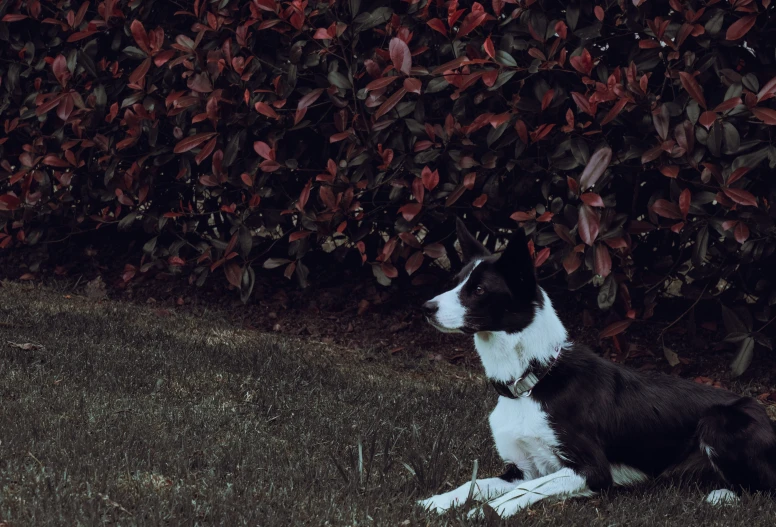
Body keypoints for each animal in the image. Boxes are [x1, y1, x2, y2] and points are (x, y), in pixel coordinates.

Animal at [418, 219, 776, 520]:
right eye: (457, 283)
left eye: (479, 290)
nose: (426, 307)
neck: (534, 380)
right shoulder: (522, 468)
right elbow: (476, 484)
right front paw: (437, 502)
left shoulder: (592, 470)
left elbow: (525, 489)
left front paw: (489, 511)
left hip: (718, 423)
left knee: (762, 489)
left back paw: (722, 496)